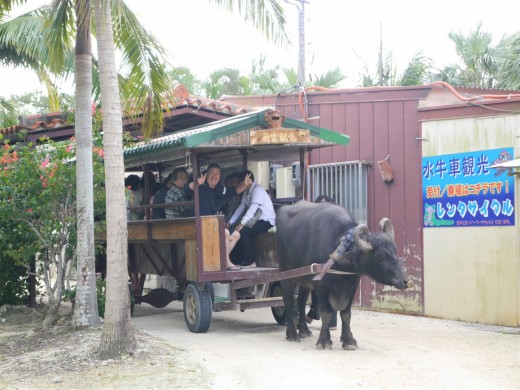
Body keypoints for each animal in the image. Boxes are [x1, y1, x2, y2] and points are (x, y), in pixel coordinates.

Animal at [278, 201, 412, 350]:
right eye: (380, 255)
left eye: (395, 250)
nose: (406, 281)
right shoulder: (321, 286)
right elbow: (326, 313)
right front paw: (324, 341)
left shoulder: (352, 286)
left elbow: (346, 314)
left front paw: (348, 340)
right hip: (285, 274)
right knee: (288, 301)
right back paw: (292, 334)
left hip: (305, 280)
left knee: (301, 301)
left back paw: (304, 330)